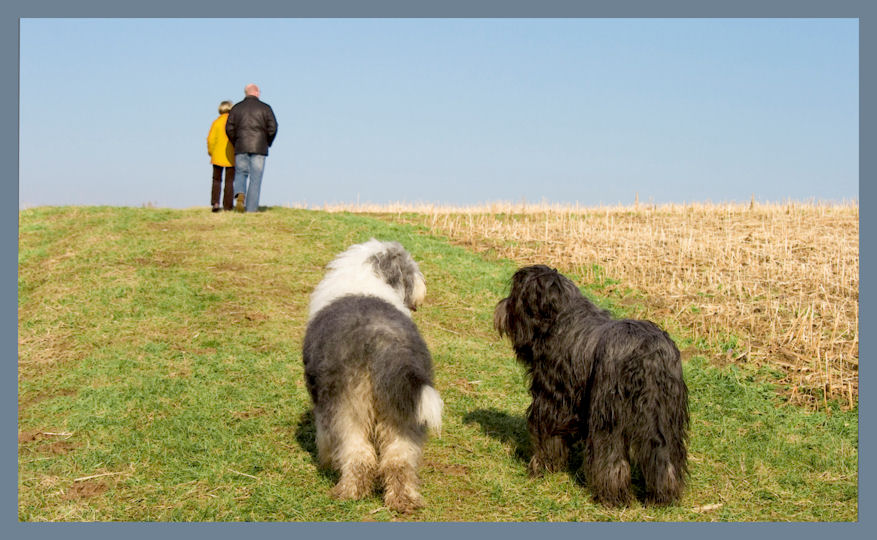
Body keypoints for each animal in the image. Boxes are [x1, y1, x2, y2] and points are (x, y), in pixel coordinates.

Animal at [302, 238, 442, 512]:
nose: (423, 288)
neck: (368, 277)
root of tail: (384, 341)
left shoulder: (323, 403)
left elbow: (323, 436)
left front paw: (324, 461)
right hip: (403, 406)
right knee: (398, 459)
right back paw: (404, 500)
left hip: (350, 406)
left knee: (359, 454)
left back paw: (349, 492)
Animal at [496, 266, 688, 506]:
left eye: (515, 295)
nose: (502, 306)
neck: (560, 318)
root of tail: (649, 355)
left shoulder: (552, 399)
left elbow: (547, 436)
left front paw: (541, 467)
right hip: (665, 415)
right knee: (664, 454)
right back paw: (662, 495)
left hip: (608, 412)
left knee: (610, 455)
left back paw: (611, 495)